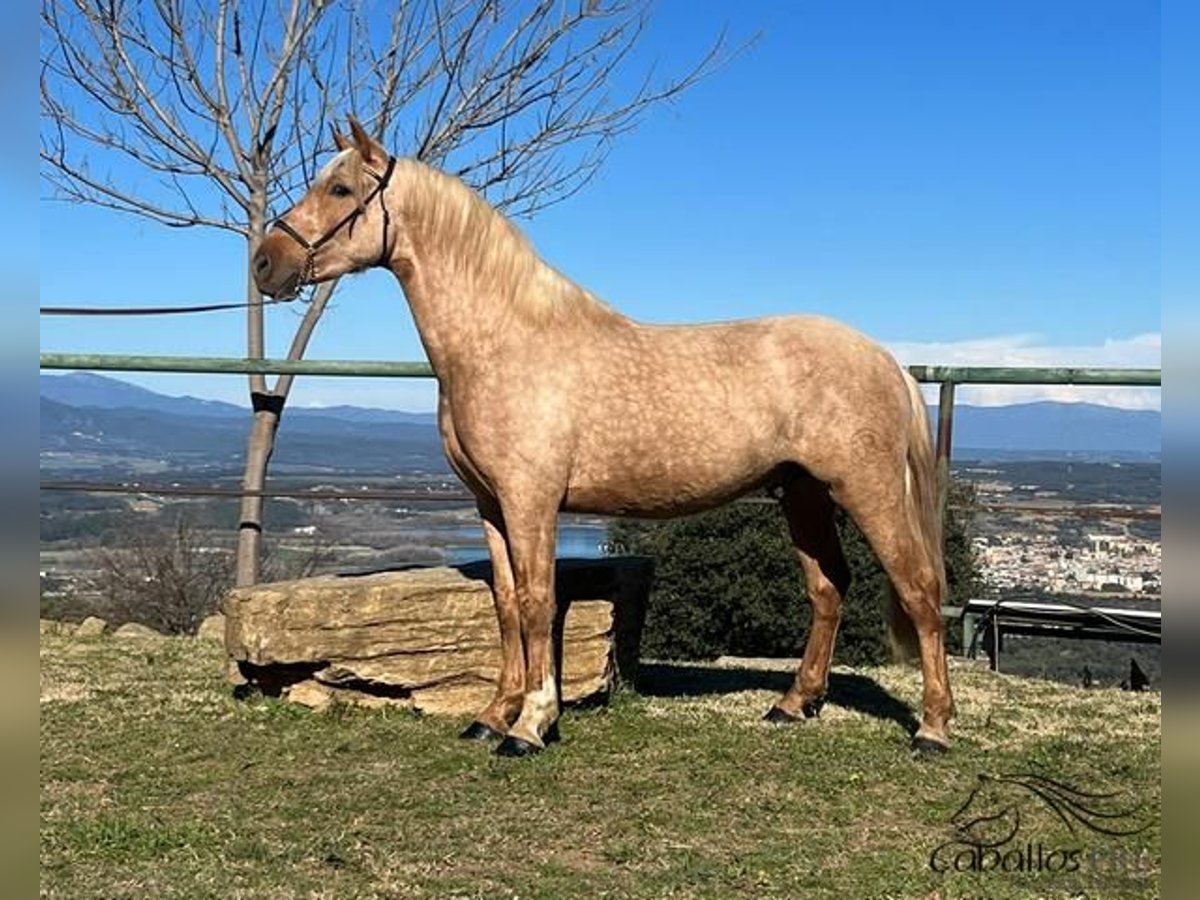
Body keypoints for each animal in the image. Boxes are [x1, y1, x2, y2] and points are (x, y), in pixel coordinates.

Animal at [255, 116, 955, 758]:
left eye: (342, 188)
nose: (266, 263)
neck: (504, 341)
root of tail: (886, 359)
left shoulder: (531, 501)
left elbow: (537, 602)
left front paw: (531, 725)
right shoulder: (489, 504)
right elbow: (505, 605)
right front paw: (492, 716)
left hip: (866, 489)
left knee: (920, 589)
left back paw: (933, 729)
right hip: (803, 494)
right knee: (828, 587)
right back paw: (794, 703)